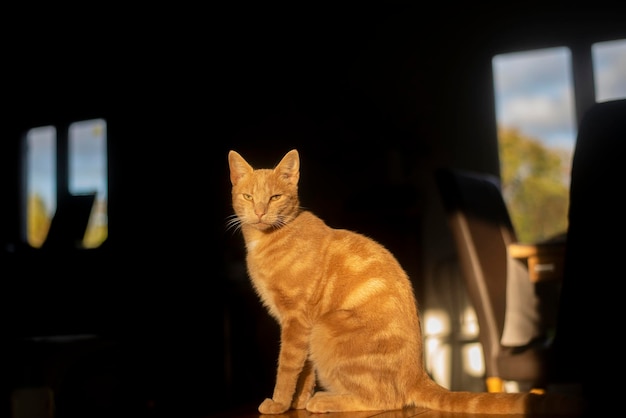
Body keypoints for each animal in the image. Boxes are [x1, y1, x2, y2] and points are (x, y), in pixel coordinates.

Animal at [227, 149, 584, 414]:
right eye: (248, 196)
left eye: (275, 197)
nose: (260, 212)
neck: (266, 240)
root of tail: (418, 371)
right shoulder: (297, 326)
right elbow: (304, 371)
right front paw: (295, 403)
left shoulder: (298, 321)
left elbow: (287, 368)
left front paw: (278, 403)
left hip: (326, 330)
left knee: (386, 400)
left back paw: (326, 401)